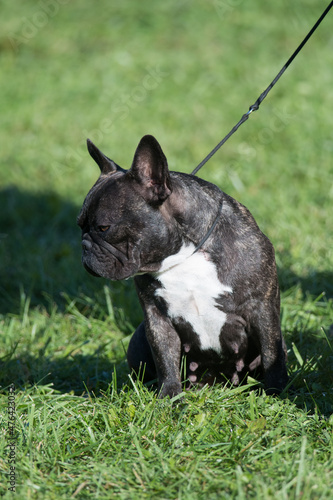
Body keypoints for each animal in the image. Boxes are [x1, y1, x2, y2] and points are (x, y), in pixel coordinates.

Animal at [78, 134, 288, 398]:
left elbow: (271, 352)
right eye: (79, 225)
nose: (84, 245)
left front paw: (277, 392)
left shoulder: (262, 310)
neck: (186, 255)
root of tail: (216, 382)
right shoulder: (157, 318)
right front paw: (170, 397)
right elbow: (165, 359)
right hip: (138, 338)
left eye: (104, 228)